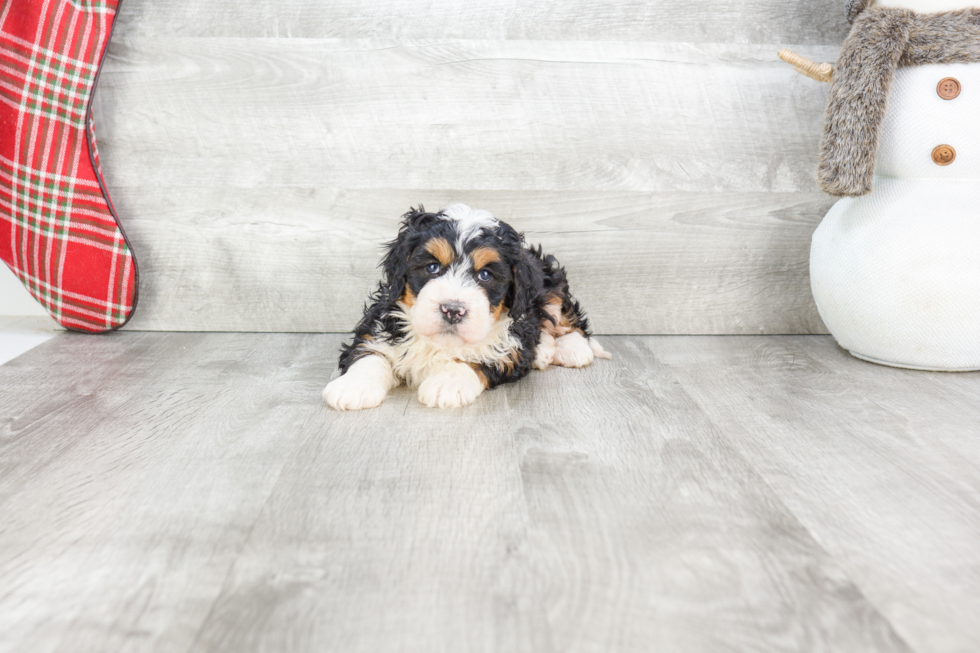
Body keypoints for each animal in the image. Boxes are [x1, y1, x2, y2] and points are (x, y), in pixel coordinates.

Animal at [322, 202, 608, 408]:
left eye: (485, 275)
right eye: (432, 267)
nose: (452, 310)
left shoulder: (508, 349)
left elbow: (479, 359)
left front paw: (447, 383)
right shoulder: (379, 323)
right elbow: (370, 351)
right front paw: (353, 386)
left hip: (550, 282)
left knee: (566, 316)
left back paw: (572, 348)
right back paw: (544, 350)